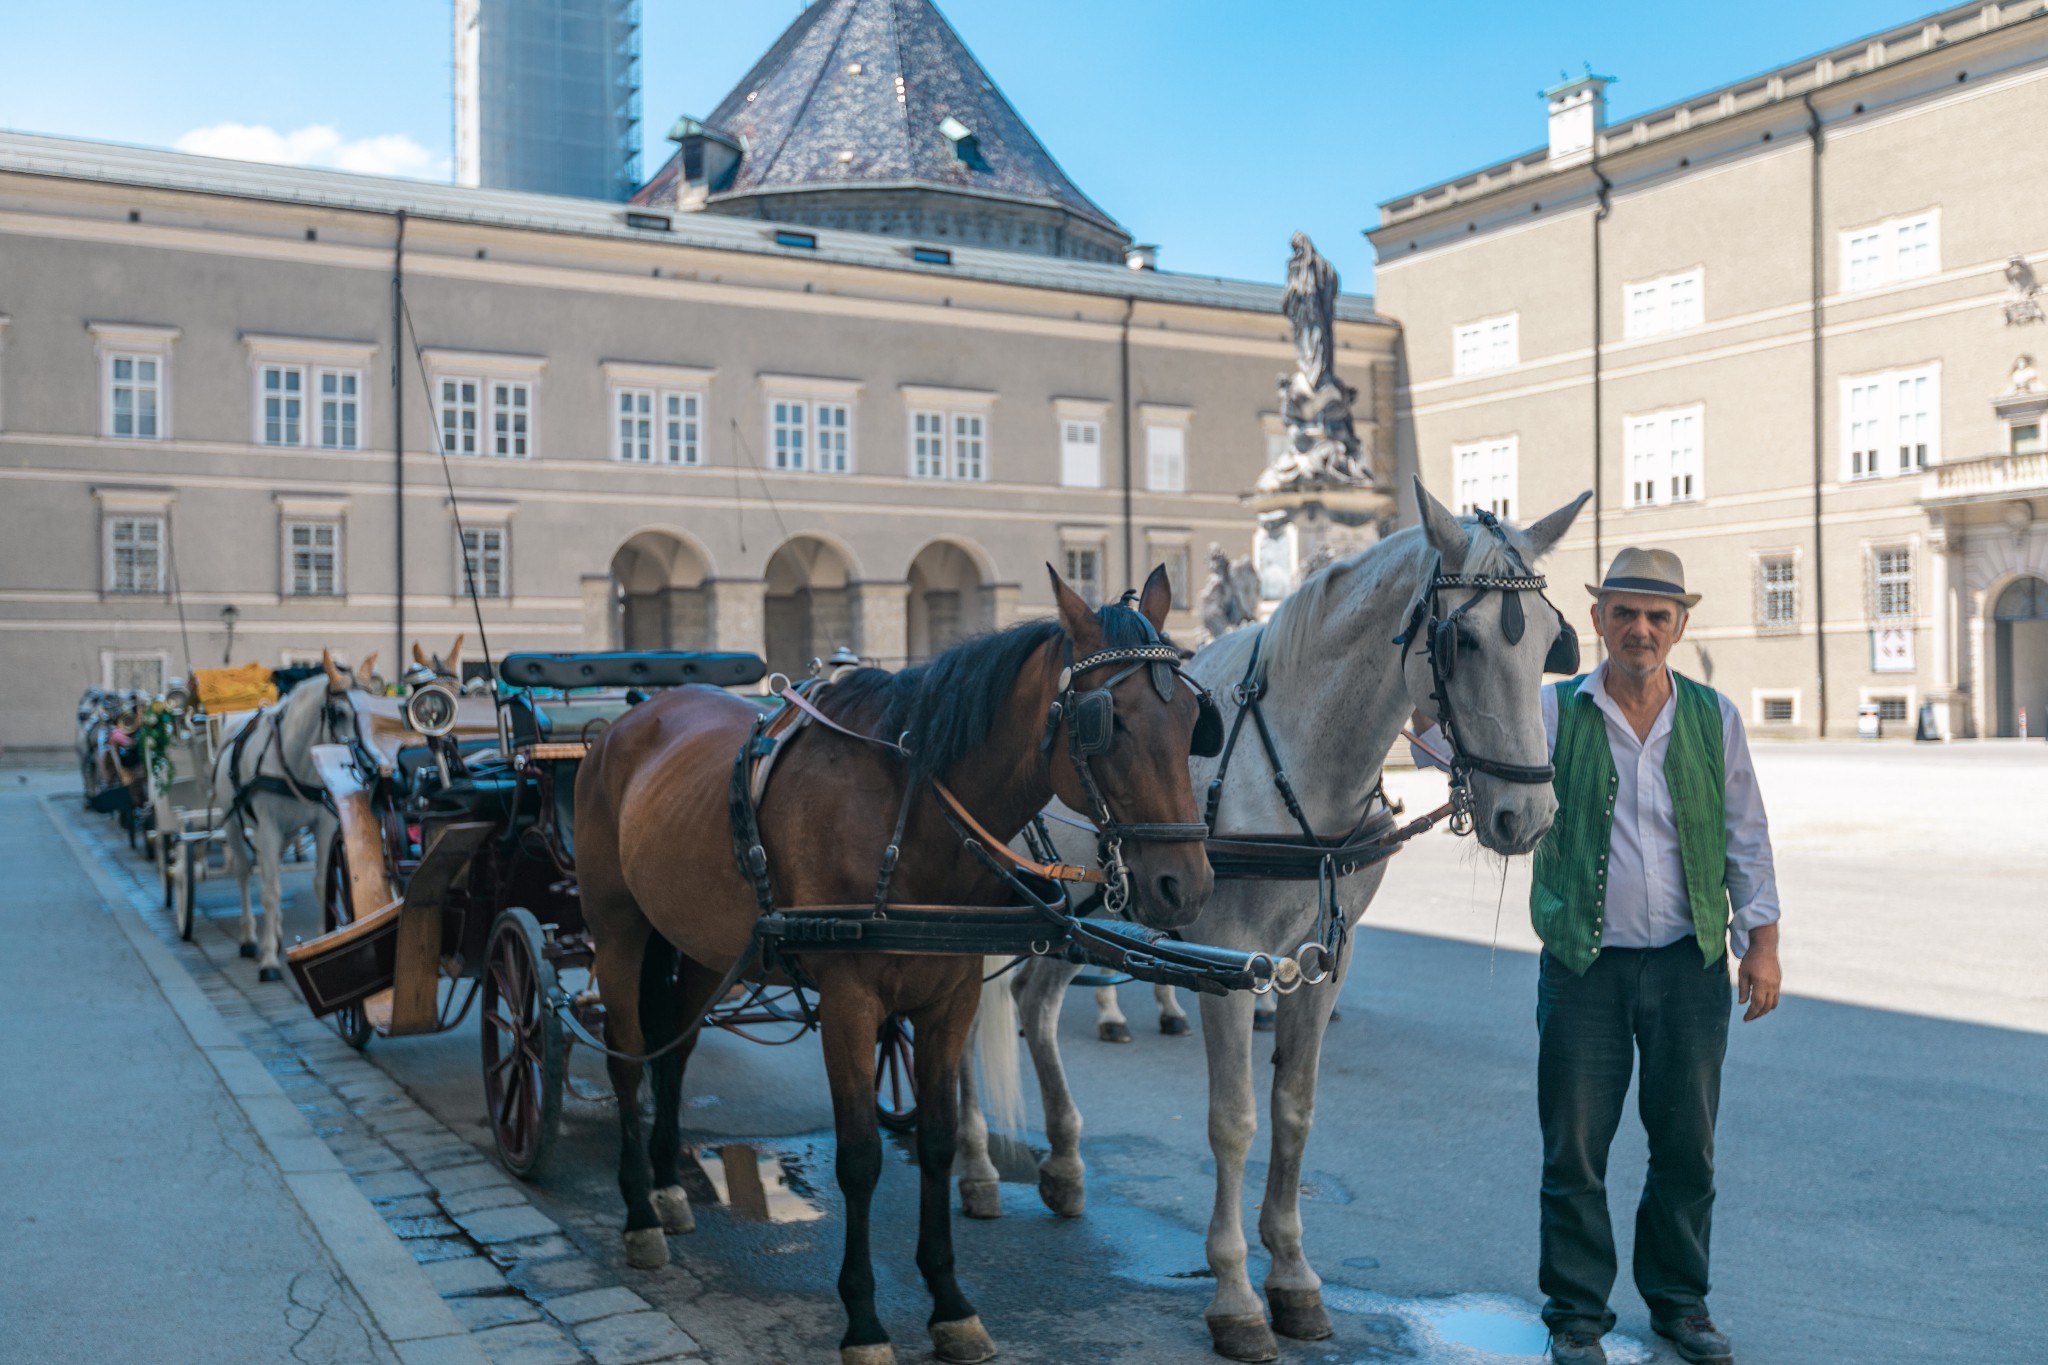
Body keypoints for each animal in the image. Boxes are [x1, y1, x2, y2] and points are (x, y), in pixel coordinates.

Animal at [205, 654, 378, 982]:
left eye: (371, 708)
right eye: (338, 712)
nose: (369, 767)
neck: (294, 761)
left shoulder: (323, 827)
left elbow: (322, 884)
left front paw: (323, 940)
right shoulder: (268, 829)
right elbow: (271, 892)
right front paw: (269, 961)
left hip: (285, 834)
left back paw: (275, 933)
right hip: (234, 824)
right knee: (245, 874)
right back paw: (250, 939)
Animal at [577, 564, 1212, 1365]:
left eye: (1193, 718)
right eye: (1110, 722)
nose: (1185, 885)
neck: (909, 815)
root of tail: (630, 717)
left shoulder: (951, 996)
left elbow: (937, 1141)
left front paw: (950, 1303)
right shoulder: (849, 1003)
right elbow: (858, 1158)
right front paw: (865, 1321)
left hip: (699, 940)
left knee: (676, 1050)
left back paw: (666, 1187)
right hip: (617, 926)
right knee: (628, 1057)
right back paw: (639, 1213)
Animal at [950, 480, 1589, 1358]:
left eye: (1555, 644)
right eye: (1460, 640)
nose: (1526, 814)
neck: (1295, 758)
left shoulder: (1323, 960)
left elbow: (1294, 1110)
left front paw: (1291, 1273)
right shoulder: (1229, 959)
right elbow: (1234, 1121)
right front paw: (1235, 1293)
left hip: (1070, 909)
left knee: (1036, 1005)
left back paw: (1066, 1159)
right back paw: (977, 1162)